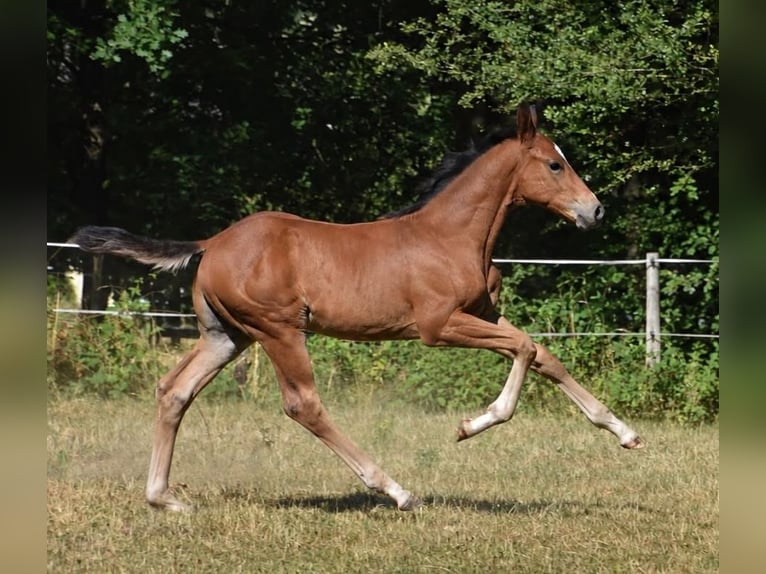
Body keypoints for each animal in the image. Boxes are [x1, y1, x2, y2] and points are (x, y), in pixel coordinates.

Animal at [70, 102, 643, 513]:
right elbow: (524, 349)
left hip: (226, 336)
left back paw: (164, 499)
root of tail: (211, 243)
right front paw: (471, 424)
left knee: (175, 391)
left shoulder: (482, 315)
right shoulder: (440, 326)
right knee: (303, 404)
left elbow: (545, 356)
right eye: (554, 163)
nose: (595, 211)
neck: (452, 237)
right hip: (278, 330)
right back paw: (398, 490)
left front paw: (625, 433)